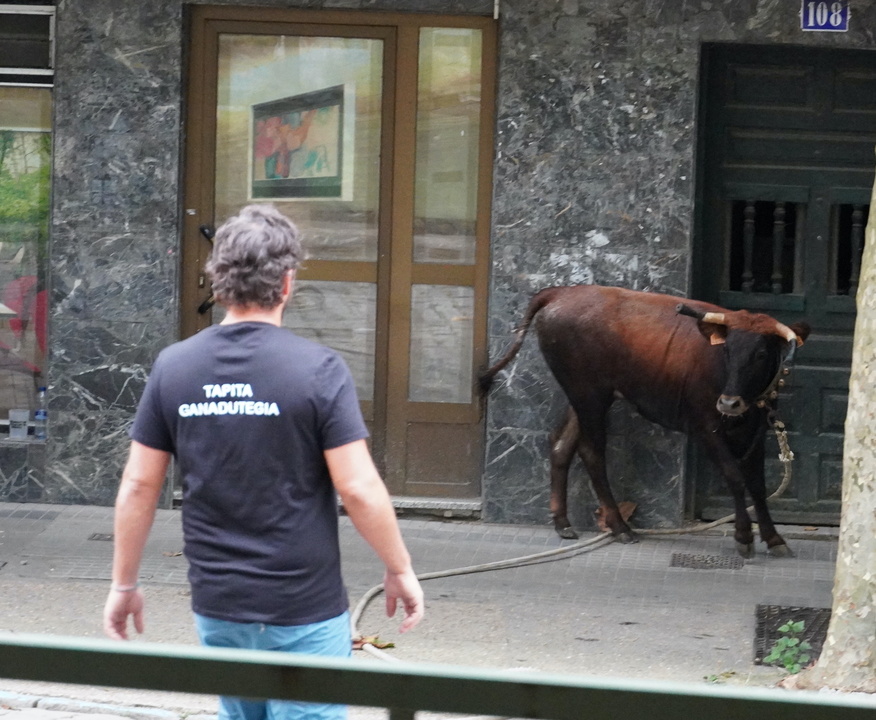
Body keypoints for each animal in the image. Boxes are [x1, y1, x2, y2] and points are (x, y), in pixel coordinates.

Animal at [479, 285, 810, 558]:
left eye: (762, 353)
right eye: (727, 349)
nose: (728, 403)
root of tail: (560, 292)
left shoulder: (757, 431)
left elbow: (758, 485)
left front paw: (774, 538)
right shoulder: (706, 428)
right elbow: (735, 477)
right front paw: (744, 536)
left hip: (585, 395)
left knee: (562, 444)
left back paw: (562, 522)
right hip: (589, 395)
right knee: (592, 453)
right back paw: (619, 526)